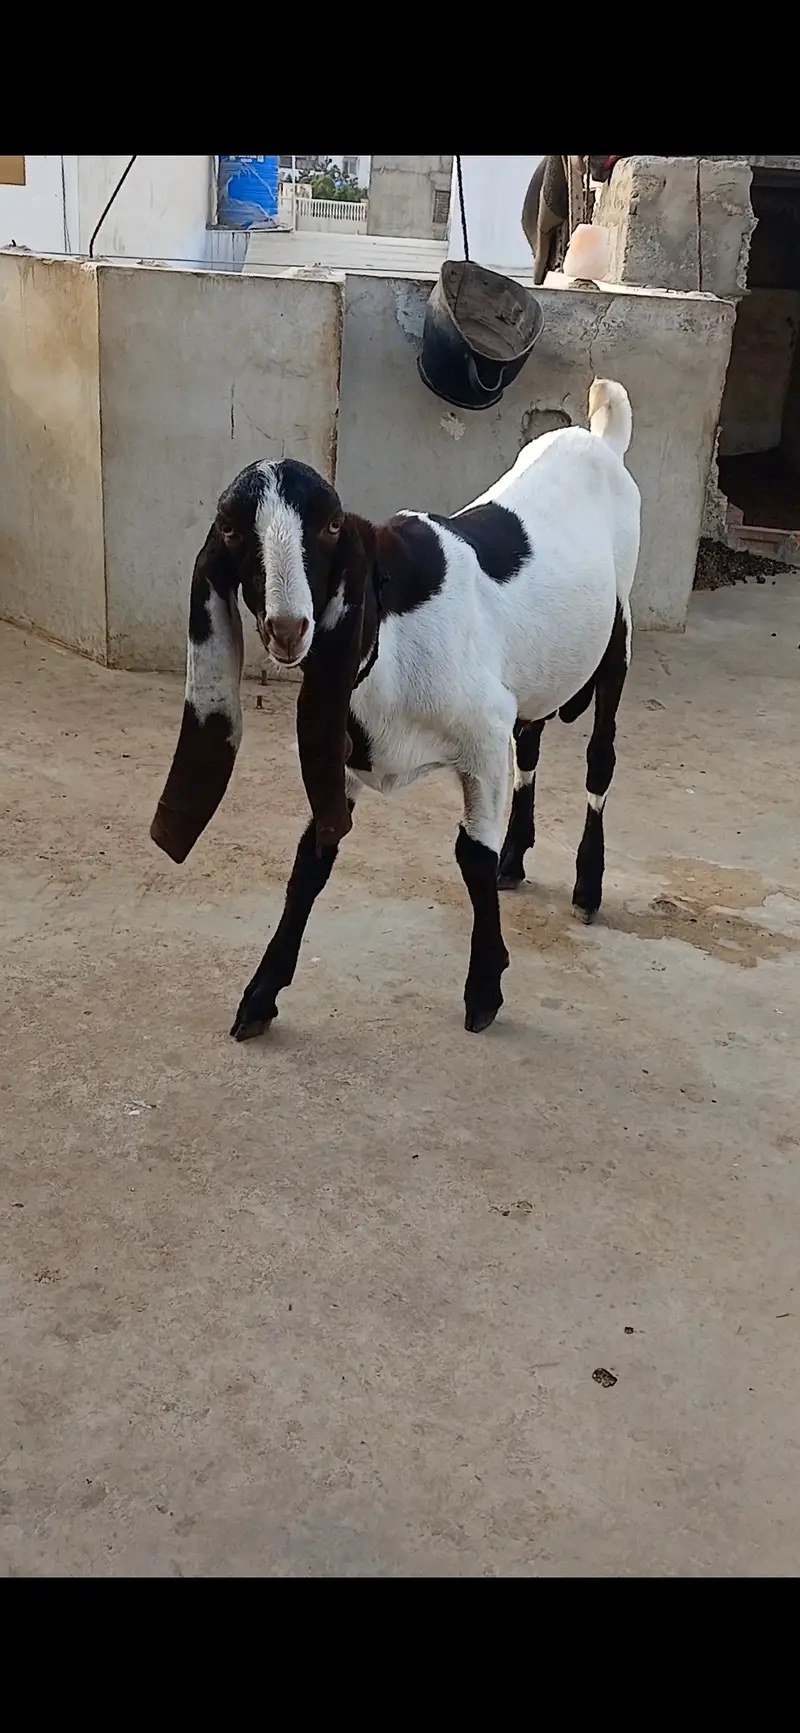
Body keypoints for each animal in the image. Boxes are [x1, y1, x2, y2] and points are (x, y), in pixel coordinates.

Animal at [150, 378, 641, 1039]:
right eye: (230, 530)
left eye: (332, 525)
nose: (287, 627)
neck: (392, 630)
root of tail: (600, 438)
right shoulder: (348, 756)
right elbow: (311, 859)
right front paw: (259, 997)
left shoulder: (482, 736)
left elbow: (470, 855)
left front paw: (485, 989)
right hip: (538, 672)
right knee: (533, 742)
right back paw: (517, 857)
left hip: (618, 635)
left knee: (600, 758)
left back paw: (588, 887)